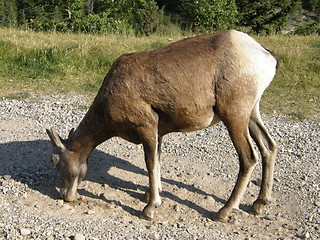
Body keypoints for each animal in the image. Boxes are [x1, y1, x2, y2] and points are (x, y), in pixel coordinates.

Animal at [47, 30, 278, 221]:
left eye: (57, 163)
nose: (66, 196)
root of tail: (266, 56)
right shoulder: (159, 132)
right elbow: (157, 161)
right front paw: (150, 195)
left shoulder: (147, 126)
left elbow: (150, 163)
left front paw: (149, 208)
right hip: (251, 113)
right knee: (269, 147)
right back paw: (259, 204)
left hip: (234, 115)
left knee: (249, 158)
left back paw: (224, 211)